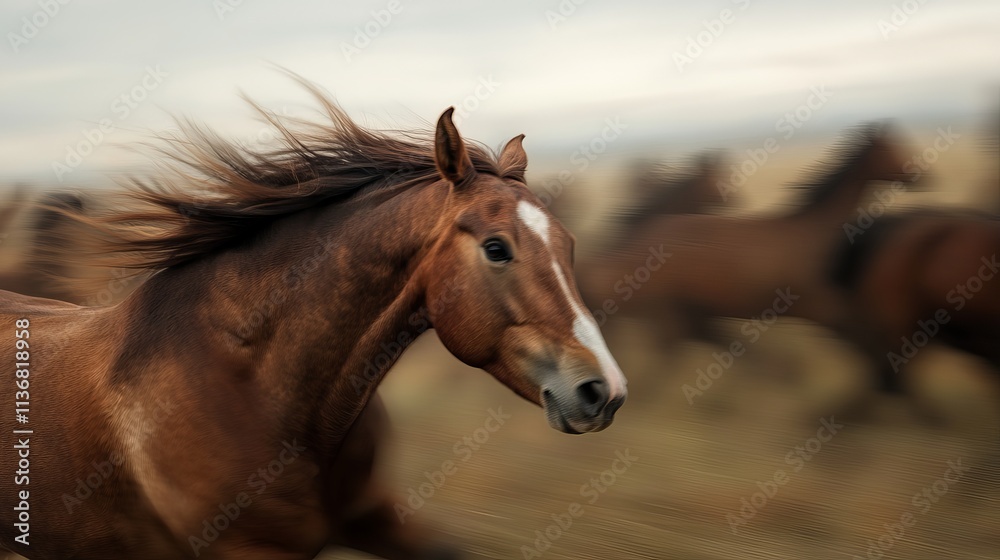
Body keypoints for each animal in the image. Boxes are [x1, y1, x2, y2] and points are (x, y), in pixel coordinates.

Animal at [0, 81, 627, 560]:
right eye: (497, 249)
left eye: (568, 245)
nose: (604, 392)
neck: (255, 388)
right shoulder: (249, 550)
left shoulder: (376, 516)